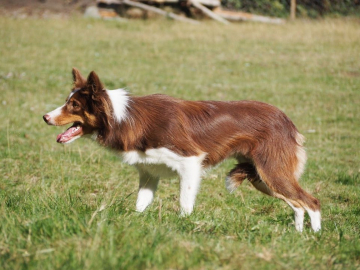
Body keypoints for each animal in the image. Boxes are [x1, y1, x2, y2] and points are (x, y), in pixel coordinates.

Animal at [42, 68, 320, 231]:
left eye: (74, 105)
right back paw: (298, 235)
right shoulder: (149, 173)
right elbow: (141, 204)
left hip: (271, 171)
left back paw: (315, 237)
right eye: (67, 101)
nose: (45, 117)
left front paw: (185, 227)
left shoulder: (190, 162)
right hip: (263, 178)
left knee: (312, 202)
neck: (125, 118)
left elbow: (185, 203)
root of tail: (286, 119)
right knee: (298, 205)